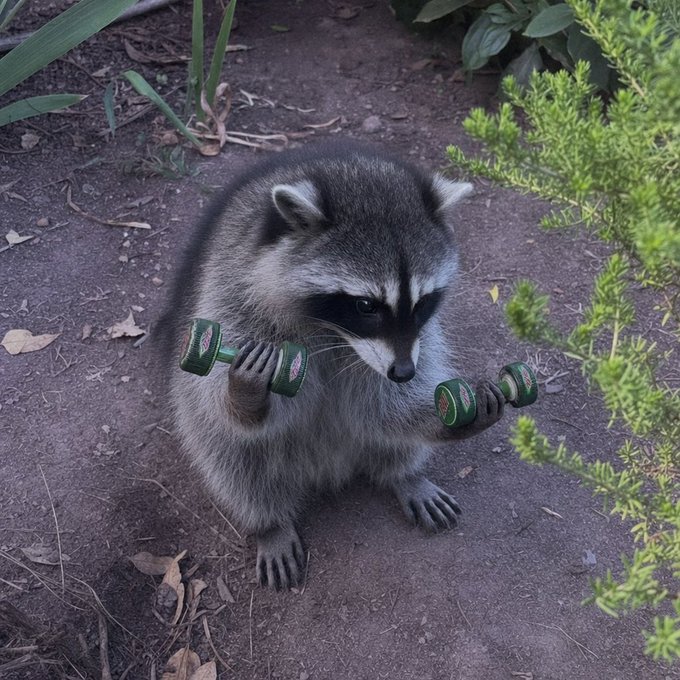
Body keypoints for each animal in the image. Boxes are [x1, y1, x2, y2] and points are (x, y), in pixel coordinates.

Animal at [165, 140, 505, 589]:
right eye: (365, 305)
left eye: (423, 302)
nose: (403, 372)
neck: (336, 333)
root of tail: (328, 466)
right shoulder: (234, 296)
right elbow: (225, 407)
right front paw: (246, 394)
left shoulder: (409, 345)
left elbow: (388, 405)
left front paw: (449, 416)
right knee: (230, 453)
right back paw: (268, 521)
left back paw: (405, 474)